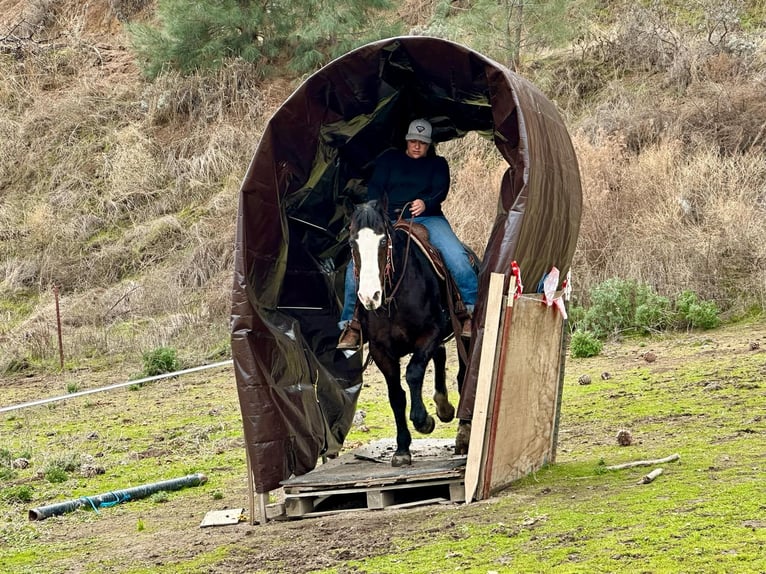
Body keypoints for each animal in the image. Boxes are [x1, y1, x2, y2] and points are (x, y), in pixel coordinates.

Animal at [348, 199, 470, 466]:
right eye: (353, 243)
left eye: (383, 241)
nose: (369, 297)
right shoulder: (380, 351)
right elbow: (396, 395)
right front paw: (402, 449)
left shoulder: (429, 334)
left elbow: (413, 373)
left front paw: (423, 421)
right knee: (441, 356)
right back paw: (443, 406)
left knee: (464, 372)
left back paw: (463, 433)